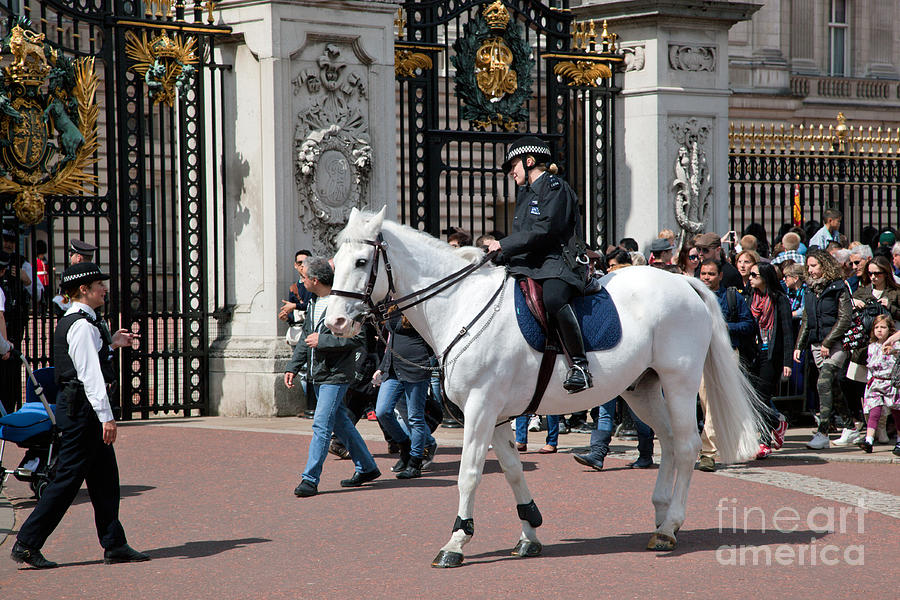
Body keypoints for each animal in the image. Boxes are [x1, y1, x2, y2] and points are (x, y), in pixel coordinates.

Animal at [326, 209, 764, 568]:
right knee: (670, 442)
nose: (334, 323)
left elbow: (470, 473)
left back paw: (671, 525)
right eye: (335, 262)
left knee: (688, 445)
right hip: (641, 389)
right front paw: (529, 532)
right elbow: (512, 470)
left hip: (679, 382)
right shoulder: (498, 415)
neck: (461, 303)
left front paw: (456, 541)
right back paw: (660, 518)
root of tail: (686, 283)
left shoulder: (480, 408)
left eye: (362, 262)